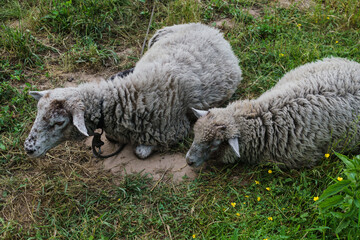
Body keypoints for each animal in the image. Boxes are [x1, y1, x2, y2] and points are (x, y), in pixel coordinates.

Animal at [22, 23, 242, 159]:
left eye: (59, 122)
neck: (123, 98)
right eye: (38, 113)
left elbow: (140, 152)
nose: (28, 149)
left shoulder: (174, 131)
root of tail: (212, 31)